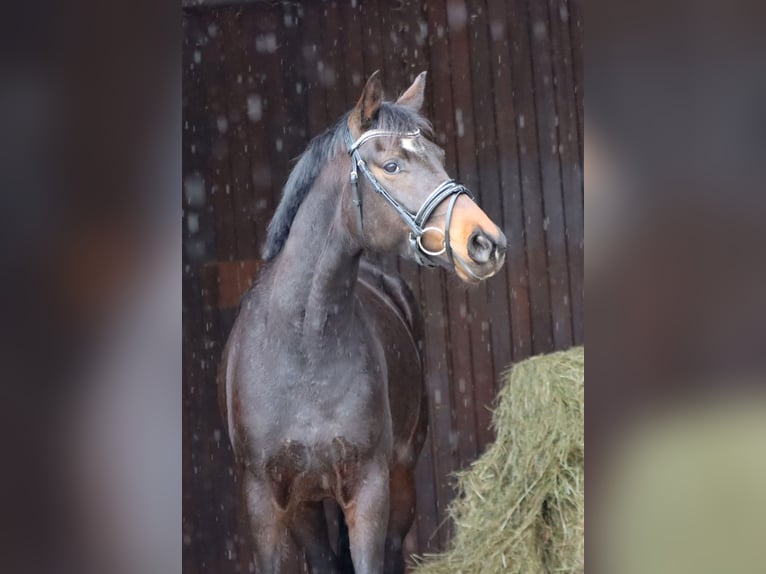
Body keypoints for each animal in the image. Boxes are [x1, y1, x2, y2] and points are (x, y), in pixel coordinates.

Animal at [220, 72, 510, 574]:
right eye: (392, 165)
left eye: (438, 156)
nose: (484, 242)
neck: (304, 345)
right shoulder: (267, 499)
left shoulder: (370, 488)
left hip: (400, 479)